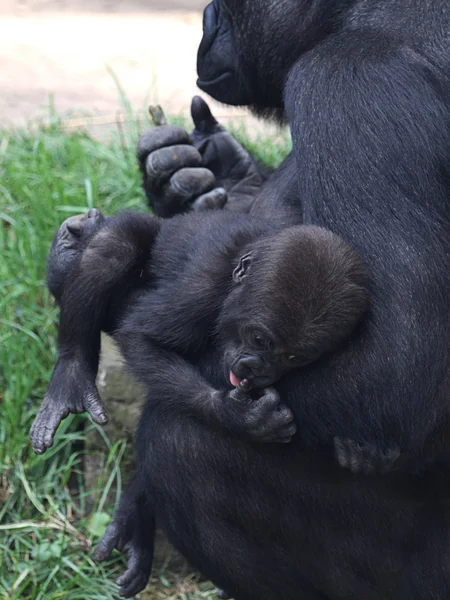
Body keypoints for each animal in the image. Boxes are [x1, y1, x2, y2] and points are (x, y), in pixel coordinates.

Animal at [30, 209, 370, 458]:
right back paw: (71, 369)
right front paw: (233, 415)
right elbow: (142, 337)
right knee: (115, 244)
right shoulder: (200, 290)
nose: (256, 369)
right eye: (259, 339)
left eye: (294, 358)